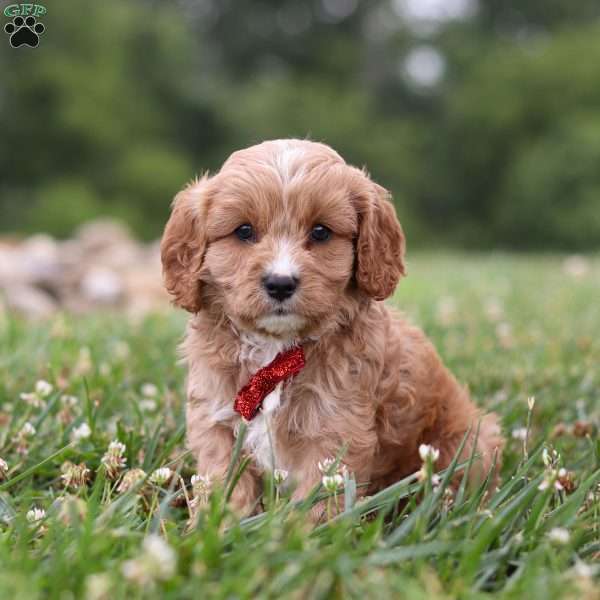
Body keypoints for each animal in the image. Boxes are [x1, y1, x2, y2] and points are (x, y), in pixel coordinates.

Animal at [162, 138, 504, 516]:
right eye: (244, 231)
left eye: (321, 231)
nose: (280, 283)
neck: (277, 350)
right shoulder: (217, 421)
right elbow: (224, 489)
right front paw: (214, 526)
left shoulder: (336, 432)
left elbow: (318, 506)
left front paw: (298, 531)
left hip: (467, 444)